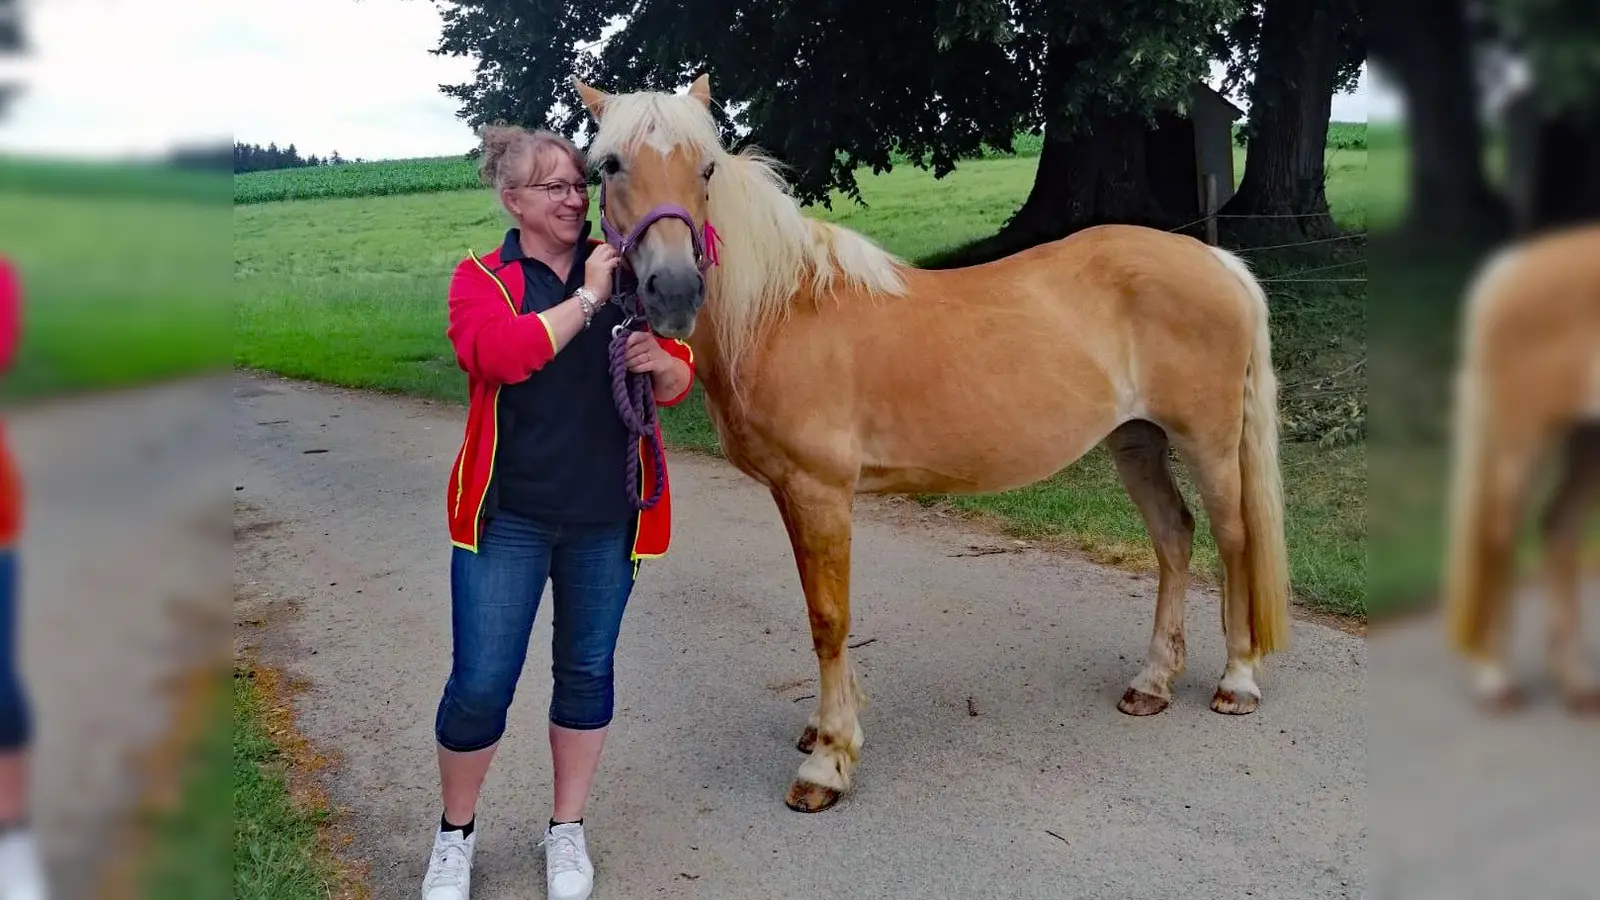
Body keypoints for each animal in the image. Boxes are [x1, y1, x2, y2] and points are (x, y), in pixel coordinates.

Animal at [569, 73, 1292, 810]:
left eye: (707, 168)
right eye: (610, 166)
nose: (674, 290)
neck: (783, 311)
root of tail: (1215, 258)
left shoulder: (821, 492)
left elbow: (829, 617)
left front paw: (827, 763)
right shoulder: (791, 495)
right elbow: (818, 608)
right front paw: (825, 729)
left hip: (1207, 441)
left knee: (1232, 539)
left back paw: (1237, 680)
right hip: (1137, 441)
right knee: (1174, 537)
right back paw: (1151, 683)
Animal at [1440, 222, 1600, 707]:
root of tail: (1511, 269)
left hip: (1584, 439)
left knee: (1558, 525)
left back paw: (1576, 682)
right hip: (1525, 442)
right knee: (1502, 535)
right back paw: (1496, 678)